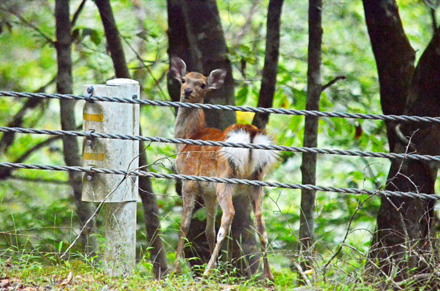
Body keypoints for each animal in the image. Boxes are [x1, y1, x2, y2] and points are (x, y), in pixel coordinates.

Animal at [170, 57, 276, 282]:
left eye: (202, 84)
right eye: (183, 80)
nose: (188, 91)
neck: (188, 139)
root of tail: (251, 135)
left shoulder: (188, 179)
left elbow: (184, 225)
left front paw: (175, 269)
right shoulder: (207, 192)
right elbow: (208, 230)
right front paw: (219, 272)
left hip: (225, 178)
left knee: (228, 217)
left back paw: (206, 272)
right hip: (257, 181)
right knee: (260, 223)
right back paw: (268, 276)